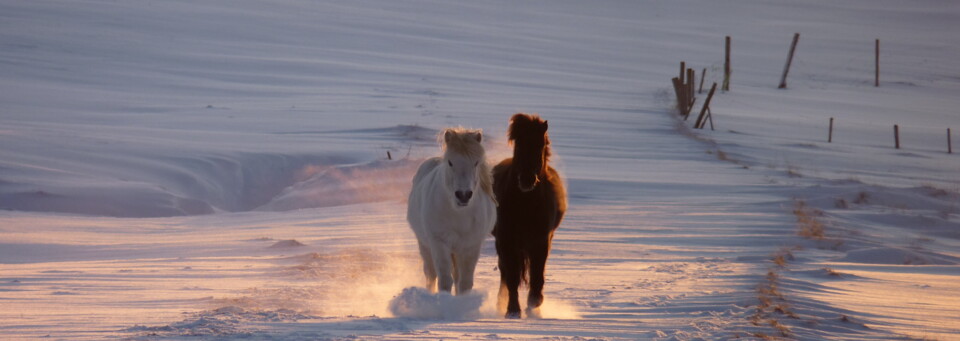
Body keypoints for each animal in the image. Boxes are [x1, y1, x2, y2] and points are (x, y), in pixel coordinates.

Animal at [406, 126, 498, 294]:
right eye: (450, 162)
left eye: (476, 162)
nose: (463, 195)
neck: (459, 215)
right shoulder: (439, 243)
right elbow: (444, 280)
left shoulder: (471, 246)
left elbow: (465, 282)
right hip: (425, 244)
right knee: (431, 275)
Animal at [492, 113, 568, 318]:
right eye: (518, 144)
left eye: (540, 145)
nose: (527, 179)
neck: (525, 205)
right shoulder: (507, 241)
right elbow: (512, 277)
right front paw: (512, 310)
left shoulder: (541, 242)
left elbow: (537, 276)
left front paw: (534, 305)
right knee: (505, 273)